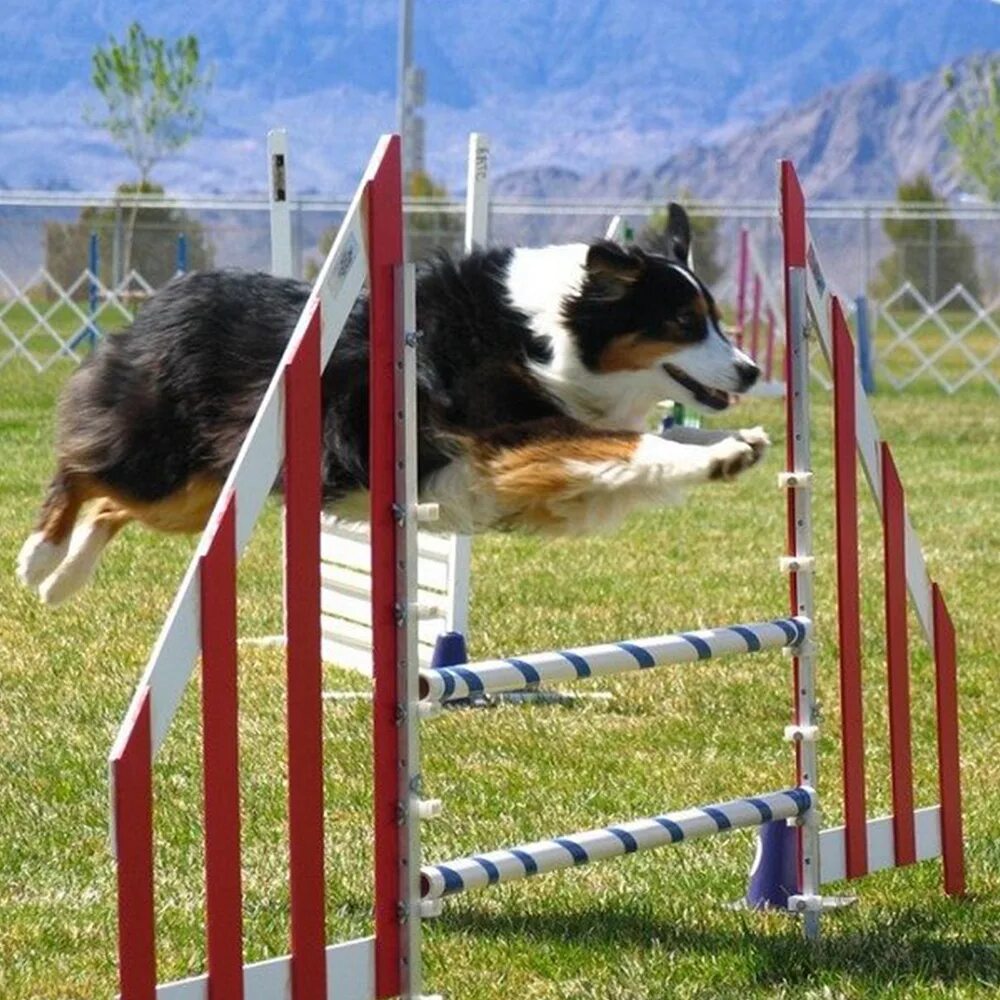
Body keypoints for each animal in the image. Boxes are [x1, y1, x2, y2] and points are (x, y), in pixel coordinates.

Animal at [15, 203, 764, 600]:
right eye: (683, 323)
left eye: (718, 319)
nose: (754, 370)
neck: (544, 334)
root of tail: (169, 295)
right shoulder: (510, 436)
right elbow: (637, 439)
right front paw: (728, 452)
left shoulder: (548, 467)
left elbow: (656, 441)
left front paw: (737, 447)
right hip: (167, 461)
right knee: (81, 468)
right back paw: (41, 558)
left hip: (207, 489)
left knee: (111, 502)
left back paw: (65, 581)